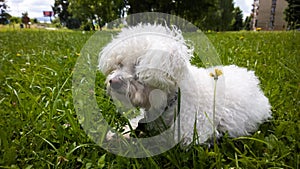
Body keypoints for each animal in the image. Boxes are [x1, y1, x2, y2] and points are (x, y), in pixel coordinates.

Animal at [98, 23, 272, 145]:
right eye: (119, 64)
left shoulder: (192, 133)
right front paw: (118, 134)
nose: (113, 82)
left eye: (138, 66)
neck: (173, 99)